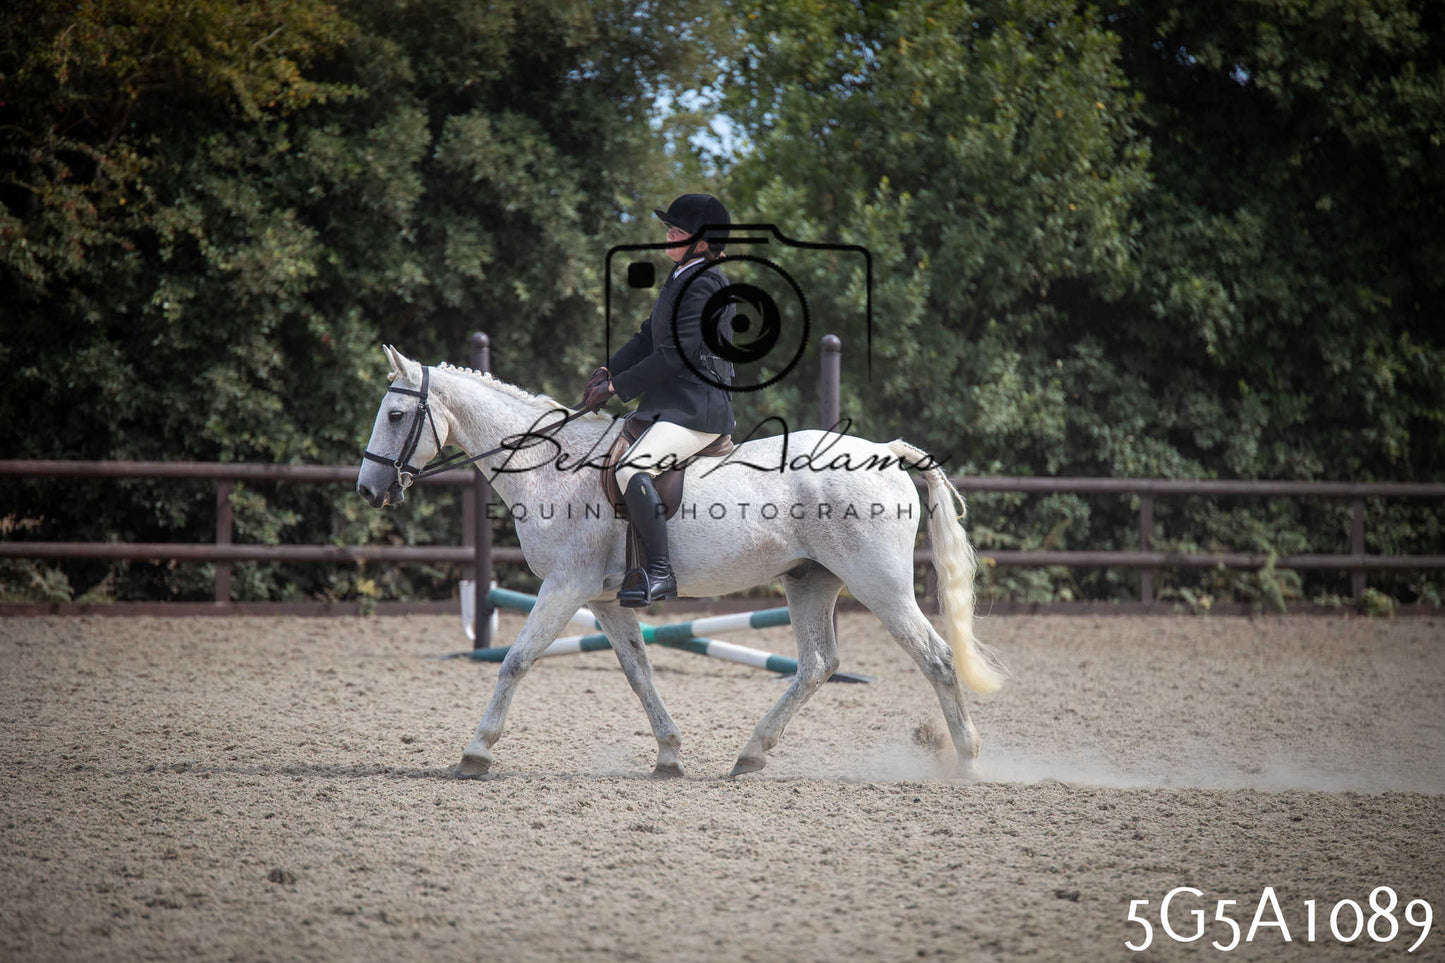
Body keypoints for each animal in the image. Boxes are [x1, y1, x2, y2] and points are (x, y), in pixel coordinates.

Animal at [356, 345, 1005, 779]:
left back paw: (970, 762)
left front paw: (476, 752)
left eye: (395, 417)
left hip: (880, 585)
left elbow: (515, 661)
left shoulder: (565, 586)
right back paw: (750, 754)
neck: (551, 470)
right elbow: (639, 671)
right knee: (819, 663)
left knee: (937, 658)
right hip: (810, 583)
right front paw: (668, 755)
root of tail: (883, 454)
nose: (368, 490)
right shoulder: (603, 599)